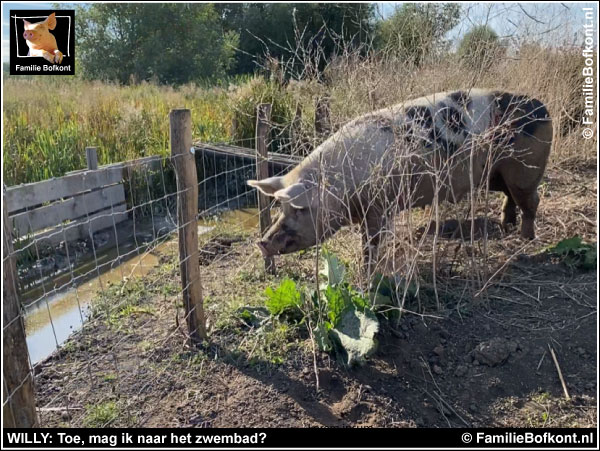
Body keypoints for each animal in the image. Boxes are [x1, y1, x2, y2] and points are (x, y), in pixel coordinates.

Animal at [248, 90, 552, 270]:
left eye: (299, 210)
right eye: (280, 209)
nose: (262, 242)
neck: (342, 188)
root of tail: (544, 108)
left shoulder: (378, 207)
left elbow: (371, 242)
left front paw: (368, 272)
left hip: (524, 169)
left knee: (532, 199)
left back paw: (526, 239)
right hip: (496, 174)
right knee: (511, 197)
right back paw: (506, 225)